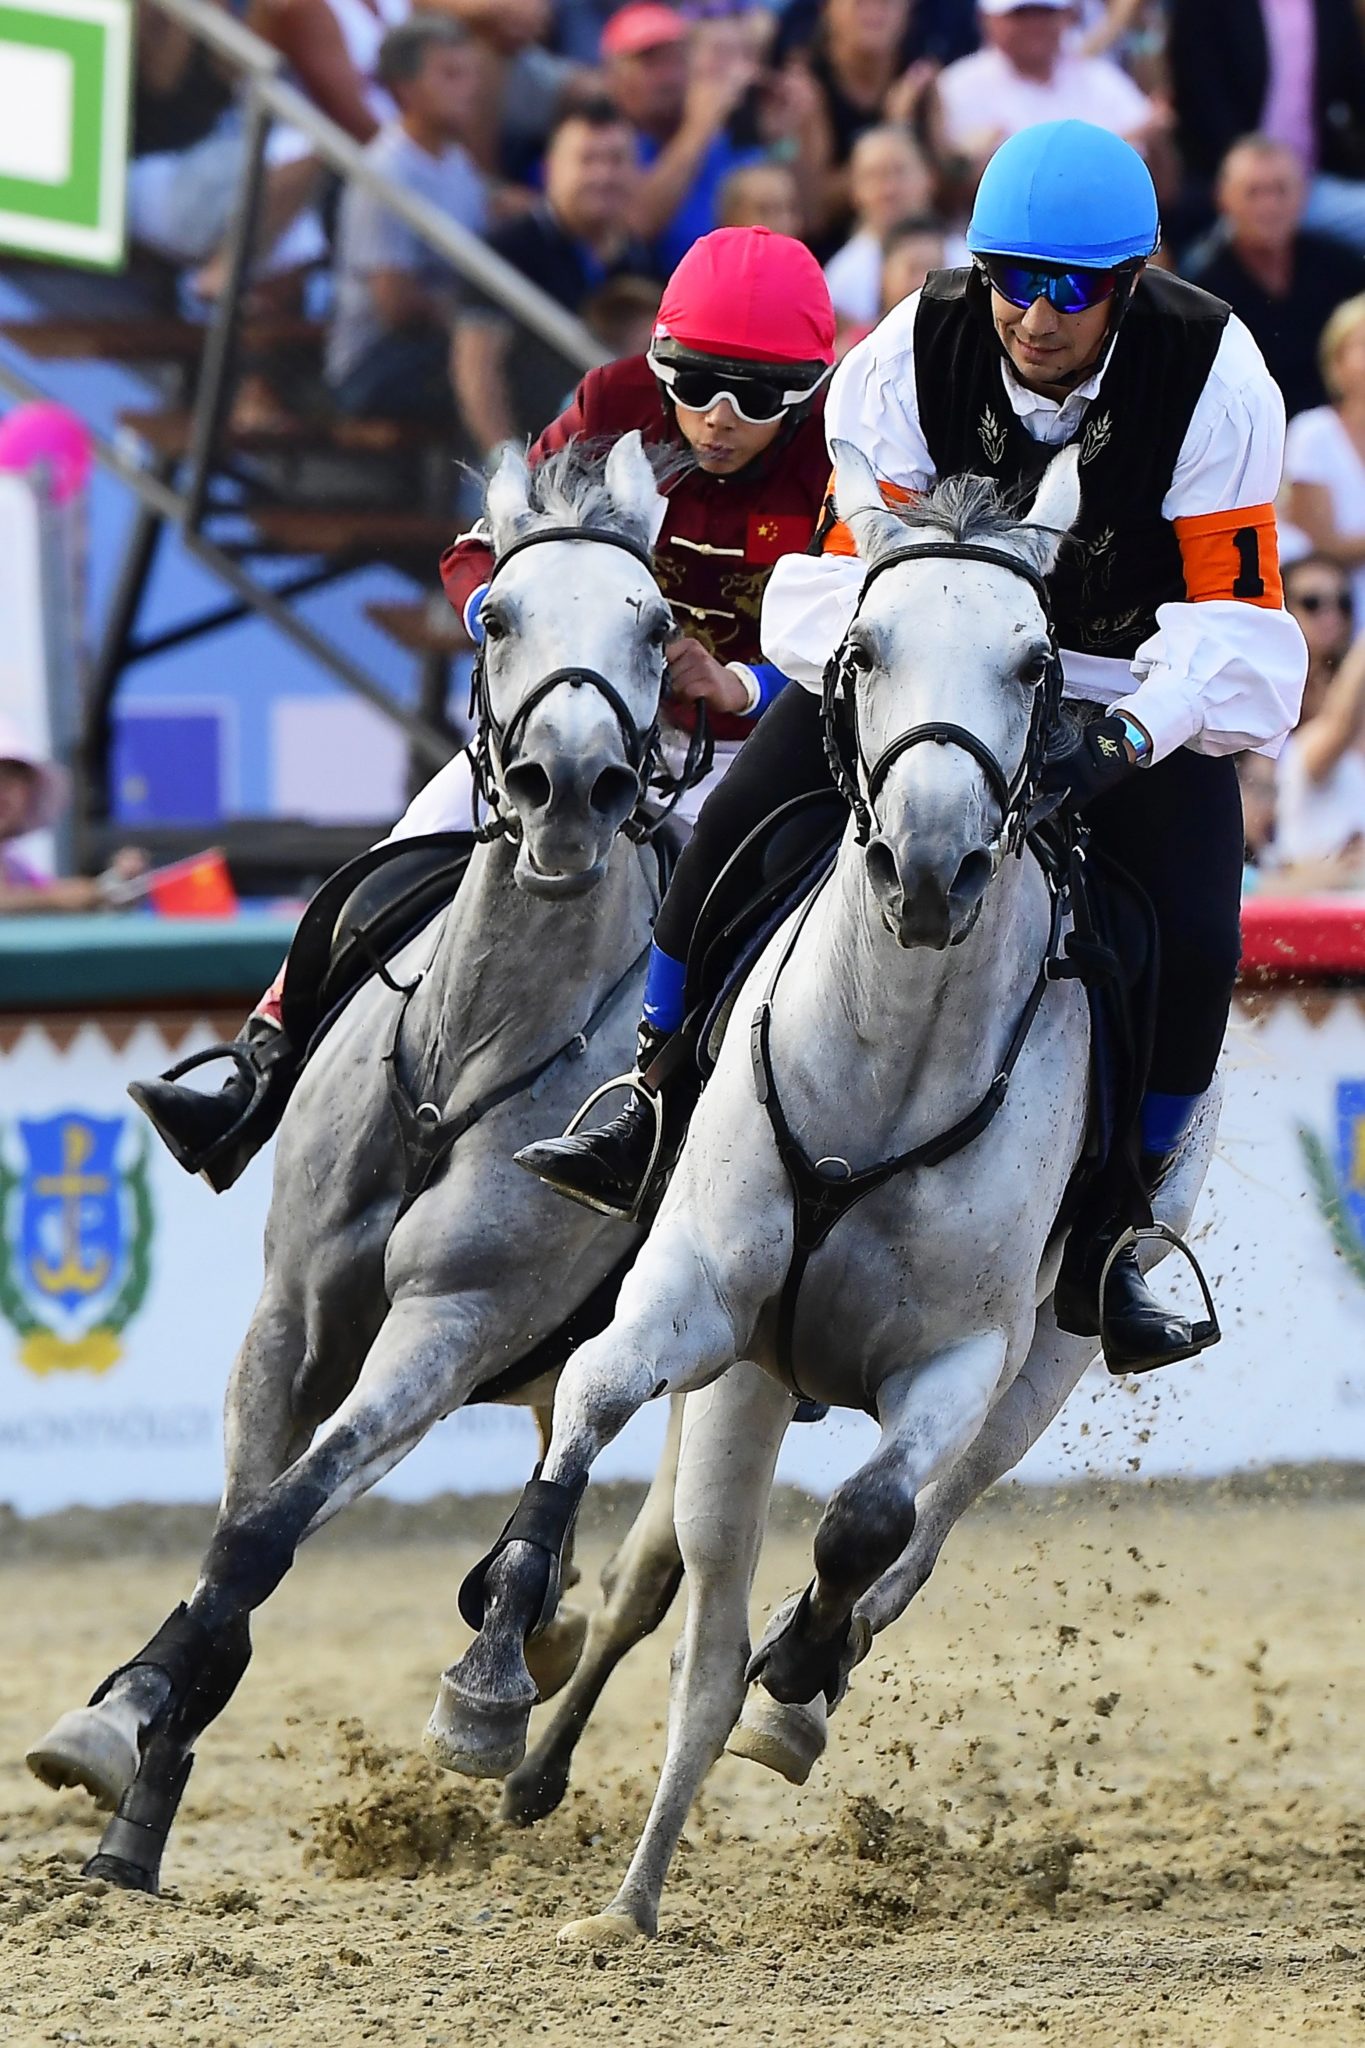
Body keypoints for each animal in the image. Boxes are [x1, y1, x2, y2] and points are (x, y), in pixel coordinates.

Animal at [423, 444, 1219, 1933]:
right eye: (863, 648)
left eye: (1036, 659)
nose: (933, 862)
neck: (887, 1064)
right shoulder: (692, 1297)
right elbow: (596, 1400)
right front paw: (493, 1662)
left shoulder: (962, 1359)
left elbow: (870, 1519)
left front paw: (804, 1661)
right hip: (744, 1381)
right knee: (678, 1618)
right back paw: (619, 1884)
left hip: (1044, 1367)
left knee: (916, 1535)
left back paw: (790, 1696)